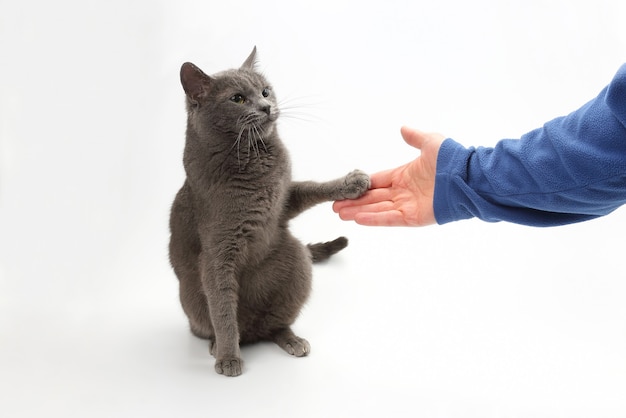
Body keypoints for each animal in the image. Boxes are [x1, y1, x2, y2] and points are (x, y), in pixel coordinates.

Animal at [168, 47, 368, 378]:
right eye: (237, 98)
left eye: (265, 91)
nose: (266, 106)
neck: (253, 158)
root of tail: (252, 333)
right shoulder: (218, 251)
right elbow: (222, 308)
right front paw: (228, 357)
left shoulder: (283, 201)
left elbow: (311, 187)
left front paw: (352, 183)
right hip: (192, 300)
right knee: (217, 322)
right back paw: (218, 345)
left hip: (296, 258)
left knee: (274, 324)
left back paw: (292, 340)